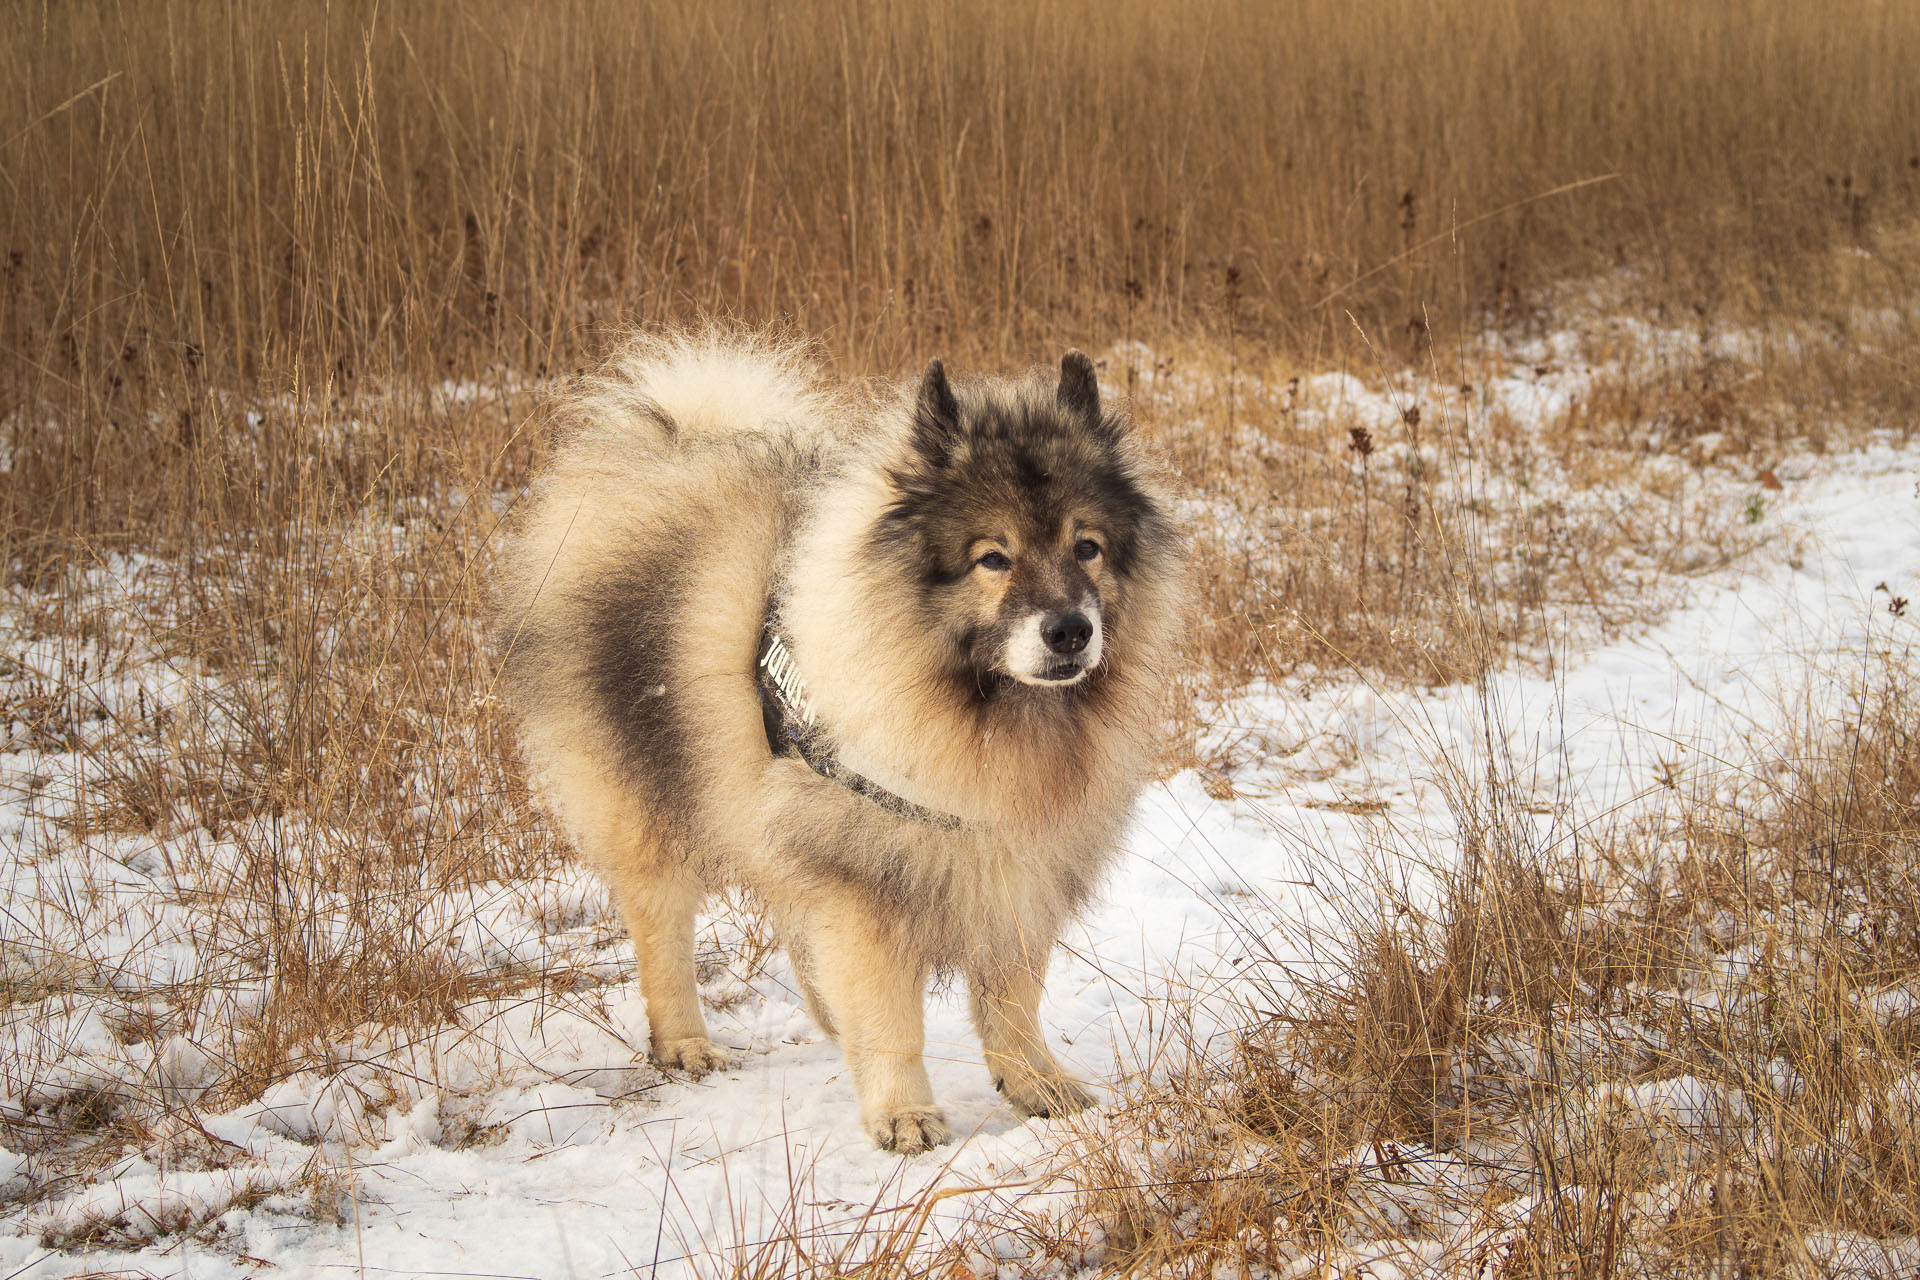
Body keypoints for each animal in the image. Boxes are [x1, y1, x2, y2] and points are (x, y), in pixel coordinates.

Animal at [495, 328, 1182, 1151]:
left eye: (1087, 548)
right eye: (994, 558)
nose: (1072, 631)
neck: (991, 713)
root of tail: (660, 457)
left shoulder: (1010, 866)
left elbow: (1014, 999)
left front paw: (1036, 1083)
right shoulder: (869, 880)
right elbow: (891, 1020)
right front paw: (904, 1113)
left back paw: (822, 1013)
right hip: (652, 800)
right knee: (663, 928)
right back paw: (685, 1043)